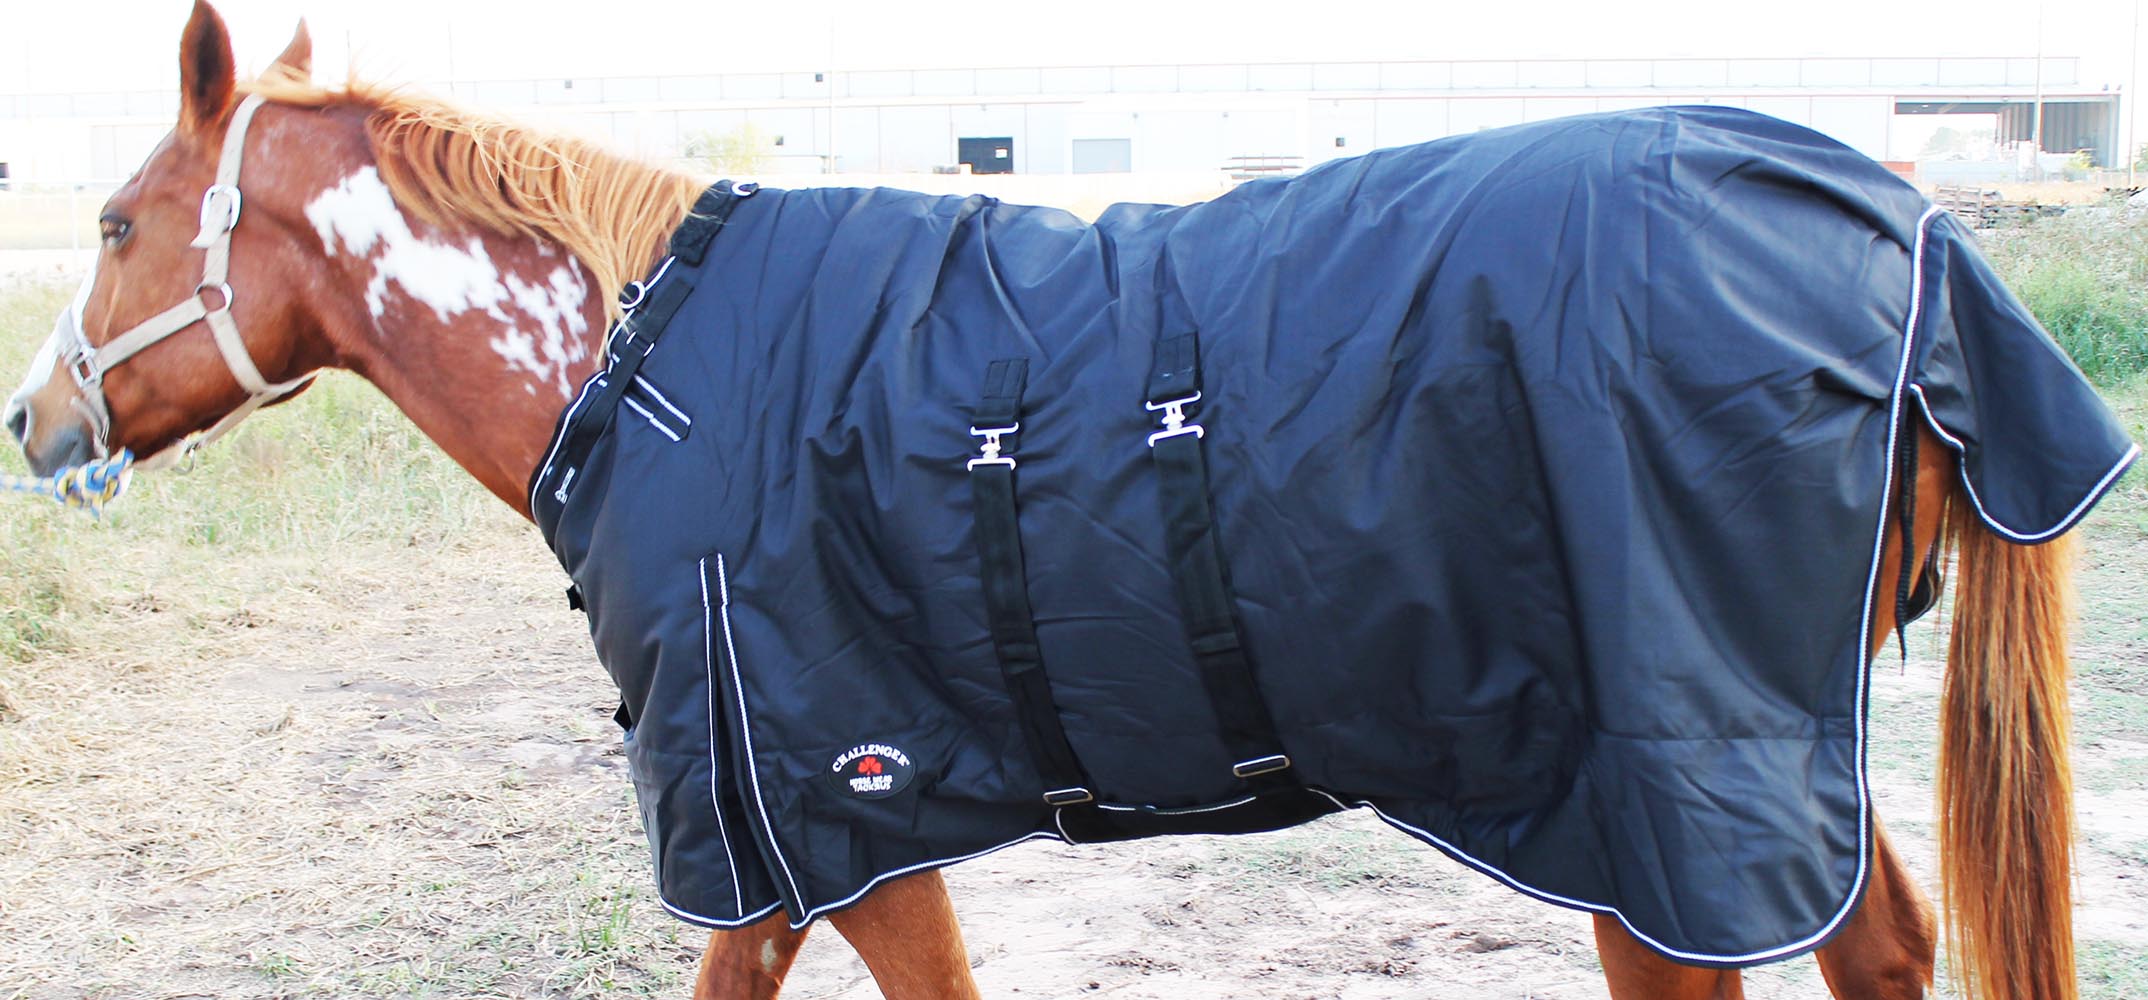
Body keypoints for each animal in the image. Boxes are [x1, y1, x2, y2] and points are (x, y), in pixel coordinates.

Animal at [3, 5, 2110, 999]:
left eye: (111, 223)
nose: (32, 421)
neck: (652, 357)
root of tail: (1905, 230)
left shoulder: (818, 826)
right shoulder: (817, 842)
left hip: (1657, 825)